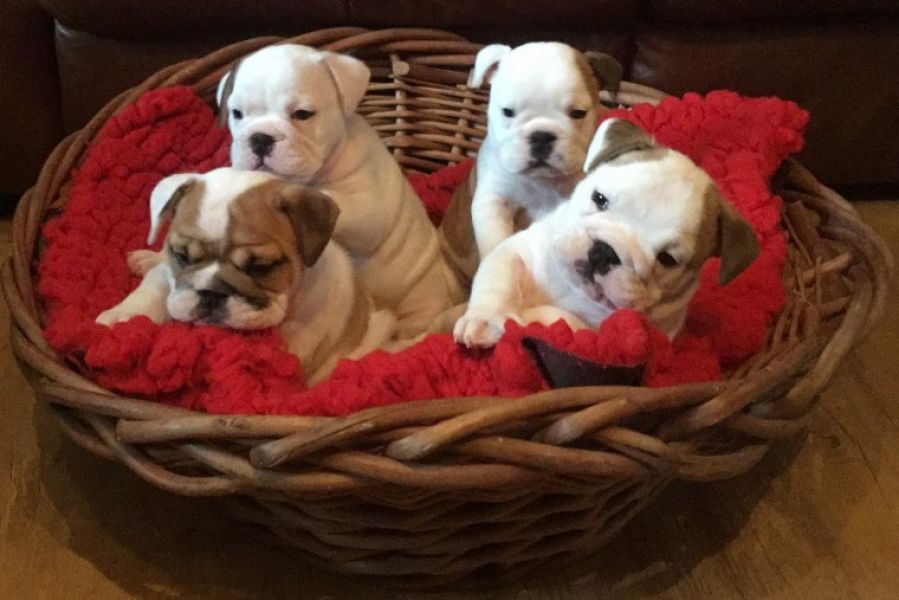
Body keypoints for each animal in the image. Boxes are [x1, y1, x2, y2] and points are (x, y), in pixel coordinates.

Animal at [96, 168, 397, 385]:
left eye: (261, 267)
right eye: (183, 256)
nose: (212, 292)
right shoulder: (169, 275)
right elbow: (156, 288)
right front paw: (124, 318)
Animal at [440, 42, 623, 288]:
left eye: (578, 113)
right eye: (508, 112)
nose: (541, 136)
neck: (540, 181)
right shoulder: (494, 202)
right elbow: (496, 240)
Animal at [454, 118, 761, 348]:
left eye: (667, 259)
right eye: (599, 198)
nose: (605, 251)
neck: (571, 288)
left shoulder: (604, 335)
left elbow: (560, 319)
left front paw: (522, 320)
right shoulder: (518, 250)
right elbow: (498, 276)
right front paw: (487, 319)